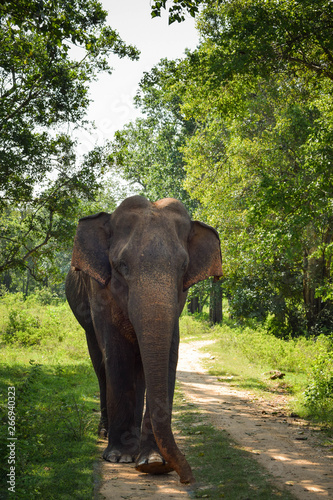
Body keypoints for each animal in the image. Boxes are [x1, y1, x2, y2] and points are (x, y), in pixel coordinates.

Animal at [65, 195, 222, 484]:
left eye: (183, 267)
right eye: (121, 266)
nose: (187, 478)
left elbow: (169, 357)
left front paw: (154, 463)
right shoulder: (99, 290)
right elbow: (118, 356)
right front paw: (119, 457)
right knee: (101, 365)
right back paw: (106, 433)